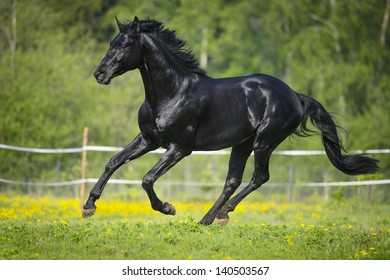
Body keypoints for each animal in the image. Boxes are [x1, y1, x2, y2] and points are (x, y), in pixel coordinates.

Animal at [83, 16, 380, 224]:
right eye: (110, 43)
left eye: (124, 45)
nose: (99, 74)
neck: (172, 92)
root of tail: (294, 95)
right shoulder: (148, 140)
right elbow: (113, 162)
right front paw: (89, 207)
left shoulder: (179, 148)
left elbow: (147, 179)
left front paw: (168, 208)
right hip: (243, 144)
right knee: (233, 181)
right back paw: (209, 219)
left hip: (264, 141)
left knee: (259, 177)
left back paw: (221, 214)